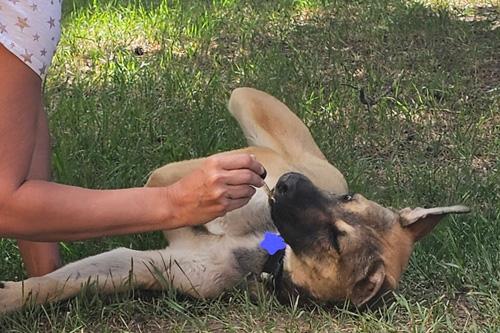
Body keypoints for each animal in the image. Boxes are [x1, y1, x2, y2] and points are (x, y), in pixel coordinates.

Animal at [0, 87, 468, 312]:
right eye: (348, 198)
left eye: (336, 241)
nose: (288, 184)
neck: (268, 255)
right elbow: (51, 285)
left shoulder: (157, 264)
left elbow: (64, 282)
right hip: (245, 98)